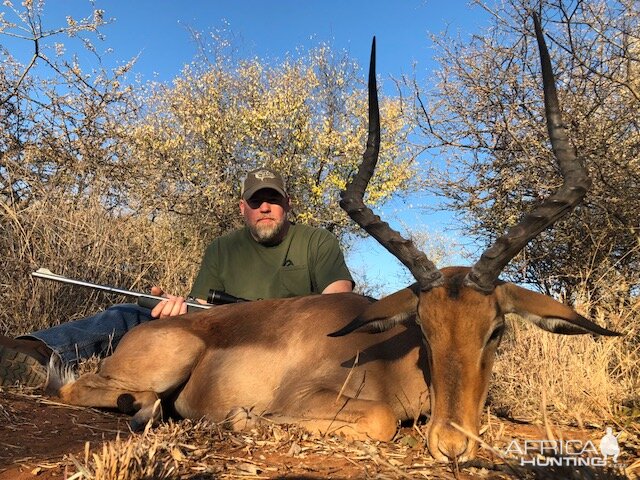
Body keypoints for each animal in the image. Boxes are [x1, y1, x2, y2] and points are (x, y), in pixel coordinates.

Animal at [48, 16, 620, 464]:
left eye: (495, 331)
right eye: (423, 327)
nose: (452, 445)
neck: (388, 362)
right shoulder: (316, 399)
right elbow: (381, 421)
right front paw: (241, 419)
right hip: (169, 359)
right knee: (79, 388)